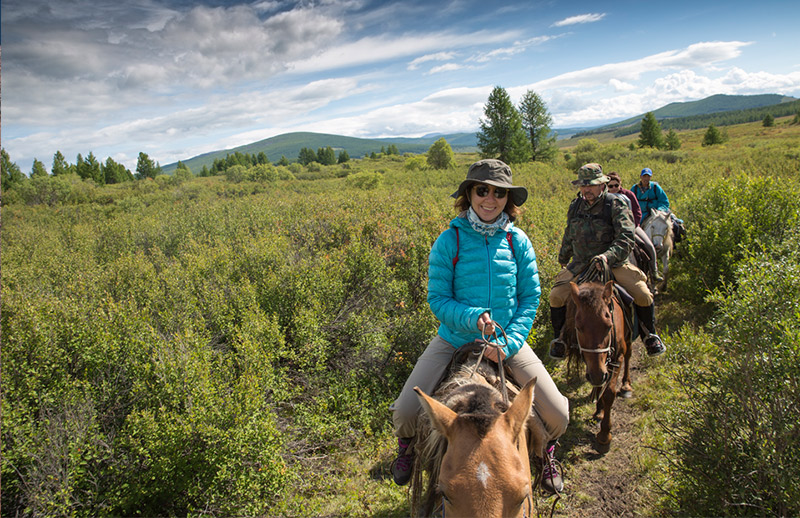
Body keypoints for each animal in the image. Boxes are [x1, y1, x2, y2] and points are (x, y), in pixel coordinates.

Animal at [564, 282, 632, 452]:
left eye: (608, 326)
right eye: (578, 327)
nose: (597, 375)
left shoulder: (616, 359)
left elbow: (609, 393)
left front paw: (604, 436)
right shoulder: (594, 365)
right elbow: (599, 384)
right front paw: (599, 409)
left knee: (629, 355)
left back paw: (626, 385)